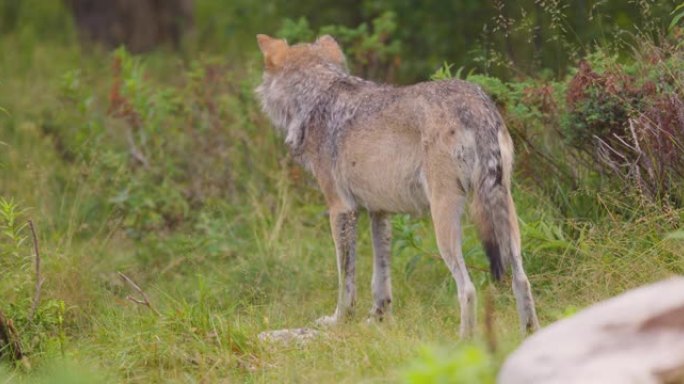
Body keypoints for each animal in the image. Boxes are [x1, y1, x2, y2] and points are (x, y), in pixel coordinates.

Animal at [254, 33, 536, 340]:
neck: (317, 98)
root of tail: (475, 106)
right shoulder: (380, 212)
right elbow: (381, 278)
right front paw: (378, 319)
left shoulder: (341, 210)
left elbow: (346, 280)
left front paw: (339, 321)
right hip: (506, 215)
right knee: (522, 280)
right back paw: (530, 334)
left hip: (444, 222)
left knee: (469, 289)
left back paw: (463, 343)